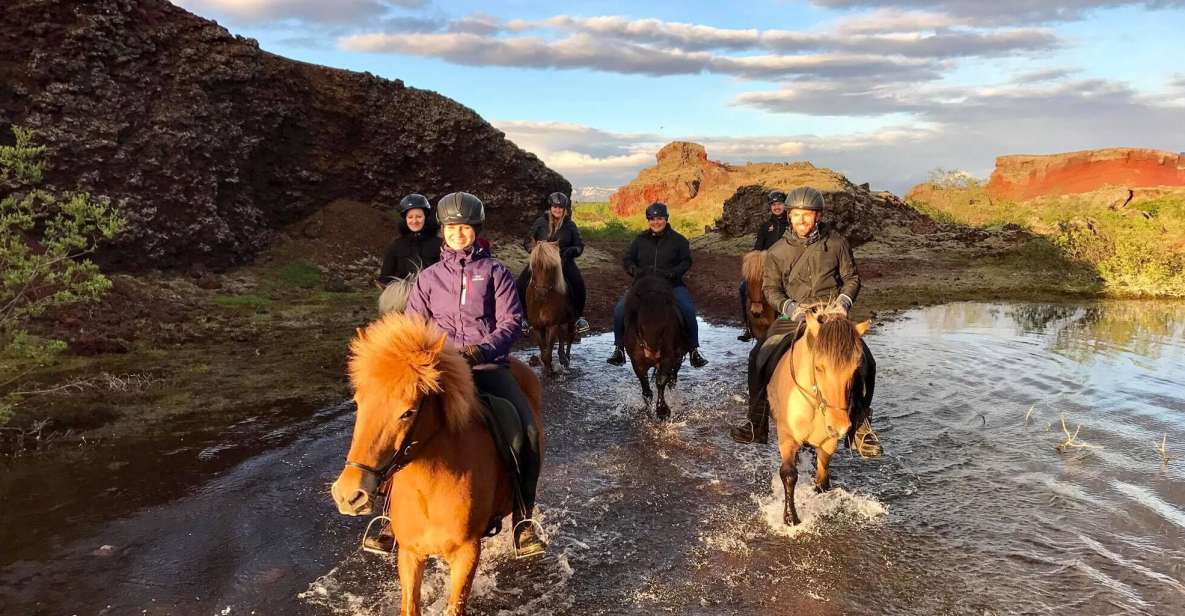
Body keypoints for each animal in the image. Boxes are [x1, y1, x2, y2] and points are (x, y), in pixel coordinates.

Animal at [329, 312, 542, 616]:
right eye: (358, 402)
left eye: (408, 412)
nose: (349, 495)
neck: (429, 487)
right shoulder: (410, 554)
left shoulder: (466, 553)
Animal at [625, 273, 692, 421]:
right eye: (640, 326)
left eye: (664, 328)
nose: (653, 354)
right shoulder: (636, 361)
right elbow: (646, 388)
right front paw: (648, 410)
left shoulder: (668, 357)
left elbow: (661, 381)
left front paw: (662, 410)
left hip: (677, 356)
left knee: (672, 377)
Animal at [767, 303, 872, 523]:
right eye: (818, 367)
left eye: (855, 370)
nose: (840, 426)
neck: (815, 404)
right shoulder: (787, 438)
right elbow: (789, 474)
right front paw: (790, 518)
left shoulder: (828, 442)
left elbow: (822, 479)